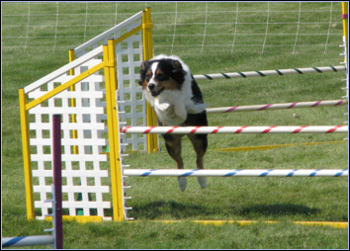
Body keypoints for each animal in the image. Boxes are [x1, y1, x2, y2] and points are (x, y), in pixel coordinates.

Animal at [138, 55, 206, 191]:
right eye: (148, 76)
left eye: (161, 75)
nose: (151, 85)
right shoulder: (155, 101)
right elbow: (159, 103)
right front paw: (166, 107)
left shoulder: (189, 97)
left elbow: (181, 102)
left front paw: (180, 112)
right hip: (171, 142)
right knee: (179, 161)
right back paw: (182, 183)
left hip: (199, 138)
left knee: (199, 159)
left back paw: (202, 180)